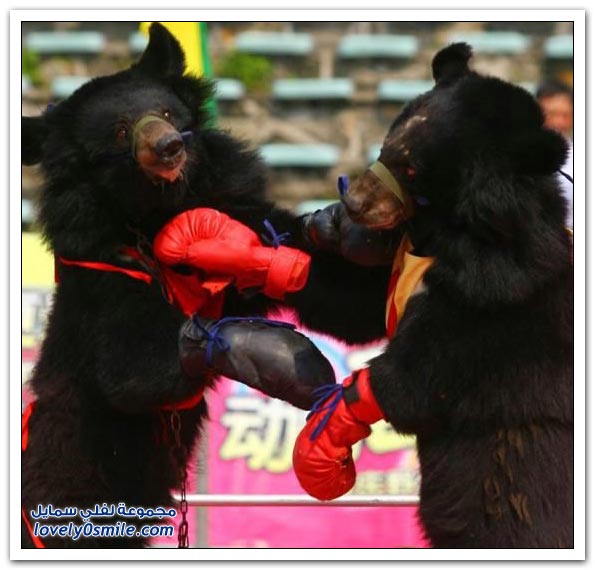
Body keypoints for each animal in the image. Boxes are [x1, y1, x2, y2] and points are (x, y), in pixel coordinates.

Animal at [21, 23, 394, 548]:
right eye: (120, 130)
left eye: (165, 113)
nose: (168, 146)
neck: (157, 215)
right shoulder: (103, 275)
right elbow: (130, 369)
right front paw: (280, 359)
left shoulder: (237, 208)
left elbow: (342, 296)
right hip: (77, 477)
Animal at [293, 43, 573, 549]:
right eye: (387, 142)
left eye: (412, 168)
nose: (352, 204)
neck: (437, 236)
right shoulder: (401, 269)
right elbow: (354, 303)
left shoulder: (497, 291)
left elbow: (418, 379)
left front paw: (328, 432)